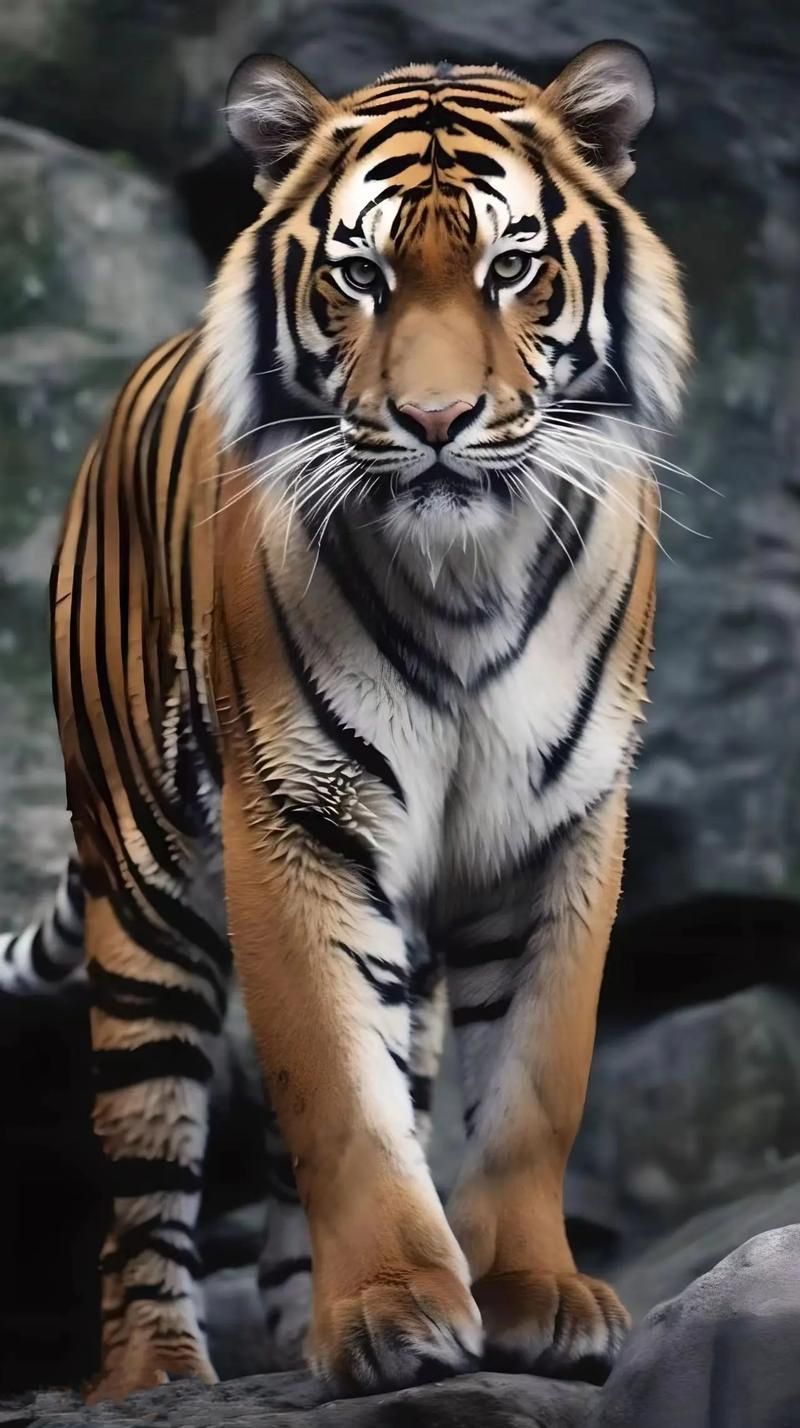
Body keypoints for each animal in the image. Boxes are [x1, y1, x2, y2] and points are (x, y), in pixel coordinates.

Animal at [1, 39, 689, 1400]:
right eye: (359, 275)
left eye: (510, 266)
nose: (433, 423)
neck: (467, 570)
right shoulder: (296, 820)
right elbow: (334, 1088)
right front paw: (385, 1313)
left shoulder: (559, 826)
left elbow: (530, 1083)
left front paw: (532, 1298)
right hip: (143, 903)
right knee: (146, 1172)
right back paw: (157, 1371)